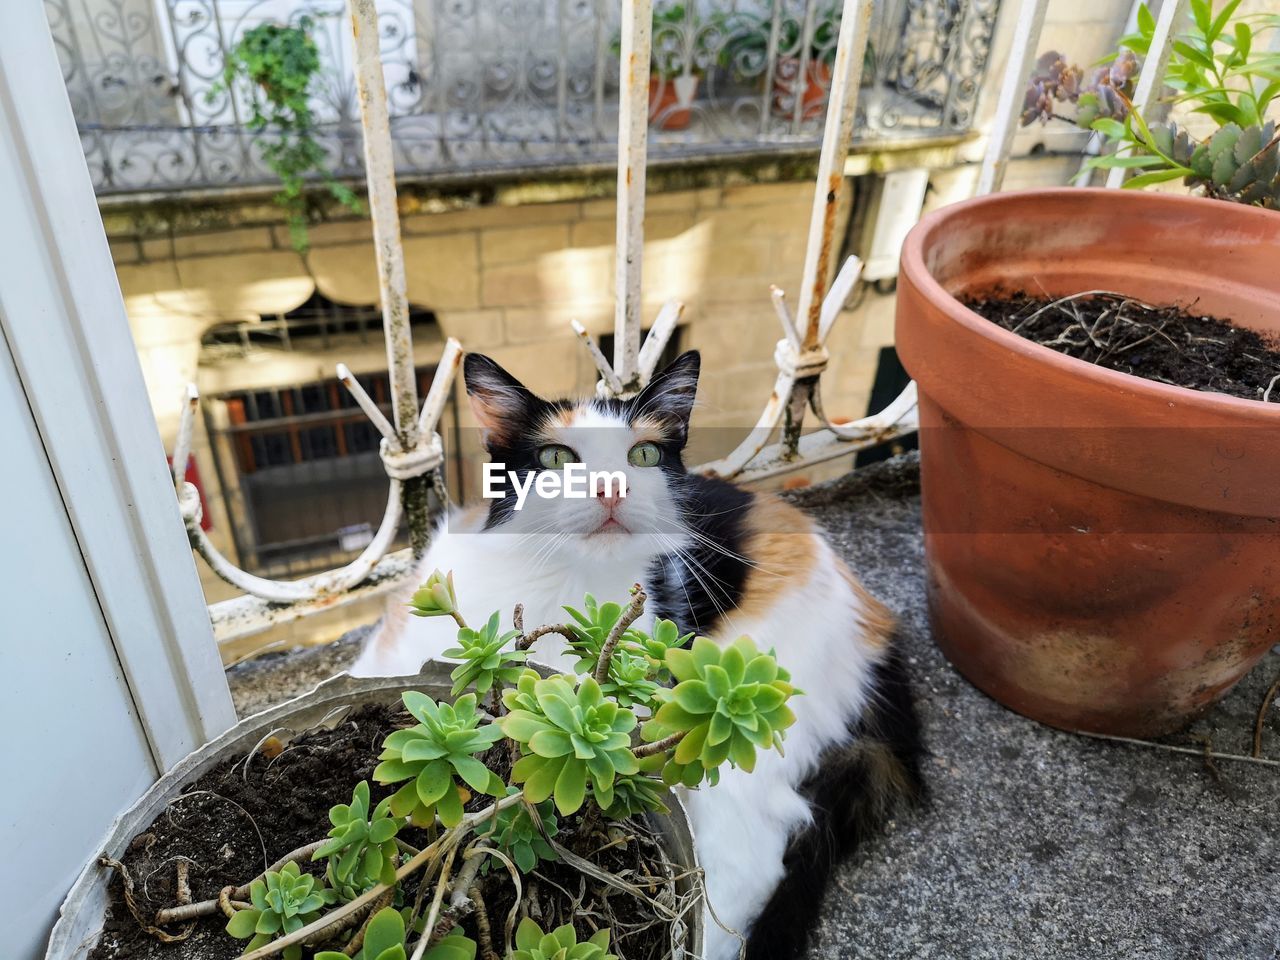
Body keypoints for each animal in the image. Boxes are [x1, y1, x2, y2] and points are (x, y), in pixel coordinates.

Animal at [355, 353, 926, 960]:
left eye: (644, 455)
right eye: (557, 458)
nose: (611, 486)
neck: (558, 585)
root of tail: (874, 617)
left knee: (750, 857)